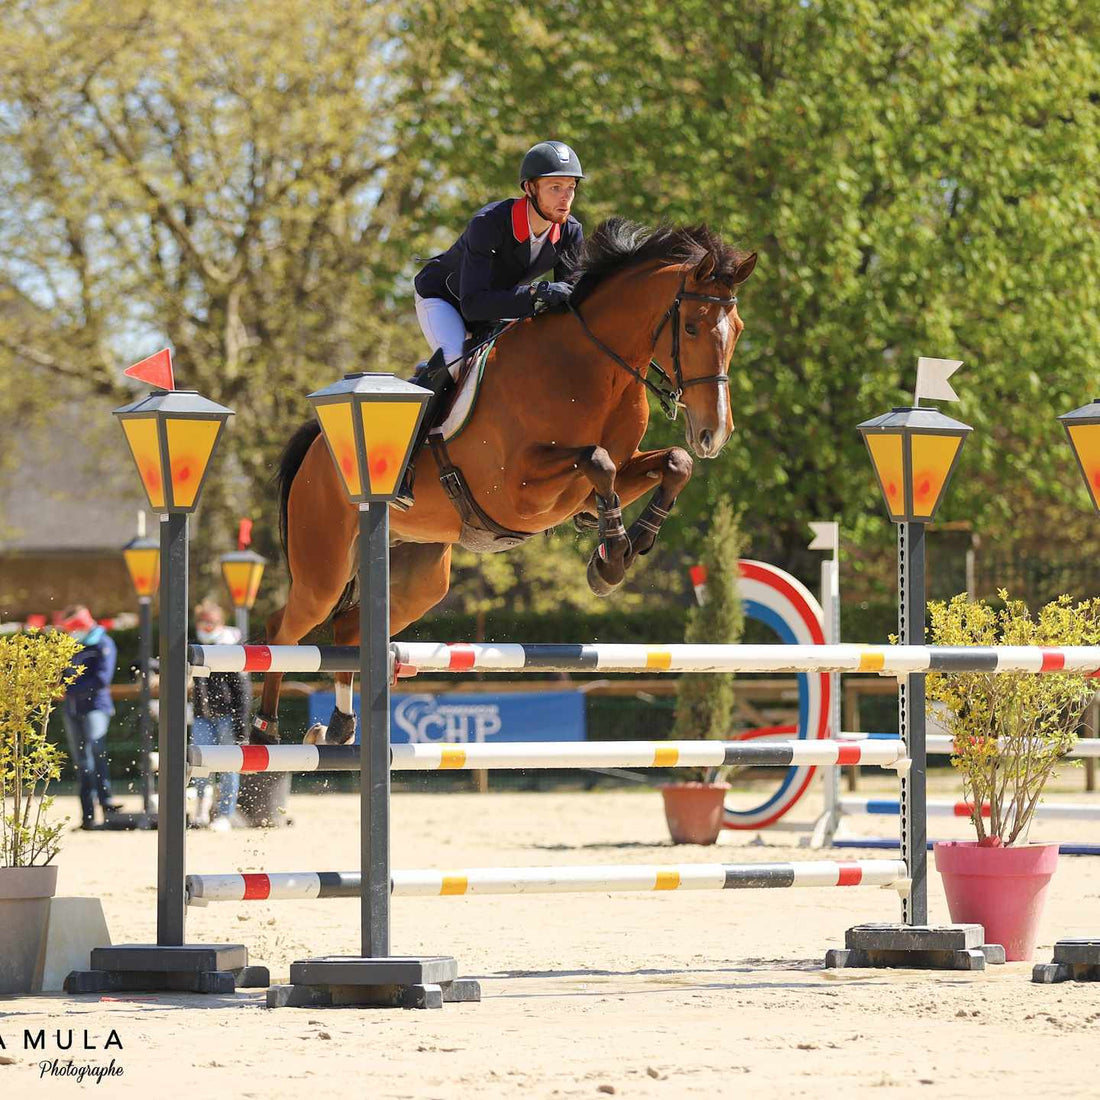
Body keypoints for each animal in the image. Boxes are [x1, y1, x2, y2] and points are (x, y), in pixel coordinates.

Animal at [256, 217, 756, 743]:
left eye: (737, 330)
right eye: (692, 326)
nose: (714, 433)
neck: (590, 367)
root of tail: (320, 445)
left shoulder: (608, 475)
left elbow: (673, 464)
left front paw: (624, 545)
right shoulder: (518, 492)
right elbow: (598, 461)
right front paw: (610, 559)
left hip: (418, 576)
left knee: (350, 629)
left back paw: (339, 726)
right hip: (324, 568)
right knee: (283, 630)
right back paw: (266, 731)